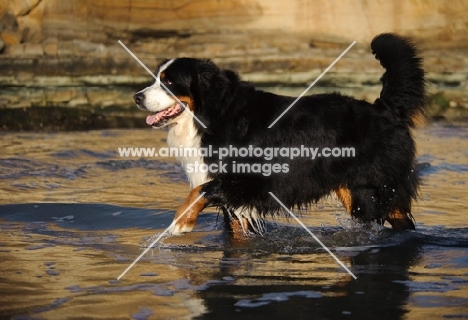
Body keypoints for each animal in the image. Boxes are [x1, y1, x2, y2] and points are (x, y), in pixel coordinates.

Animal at [133, 33, 426, 236]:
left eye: (169, 82)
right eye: (155, 79)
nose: (137, 97)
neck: (211, 118)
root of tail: (384, 109)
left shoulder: (249, 181)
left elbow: (201, 190)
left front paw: (180, 223)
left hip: (371, 190)